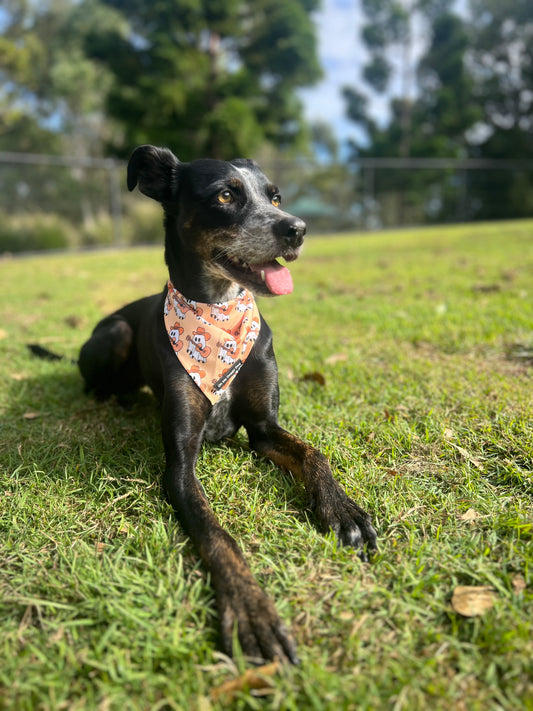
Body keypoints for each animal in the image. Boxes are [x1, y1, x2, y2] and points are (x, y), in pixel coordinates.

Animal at [75, 147, 376, 664]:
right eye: (224, 196)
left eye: (275, 197)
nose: (297, 229)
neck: (217, 314)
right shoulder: (180, 465)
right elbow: (218, 535)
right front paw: (252, 609)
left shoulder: (264, 429)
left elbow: (314, 453)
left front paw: (343, 511)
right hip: (115, 333)